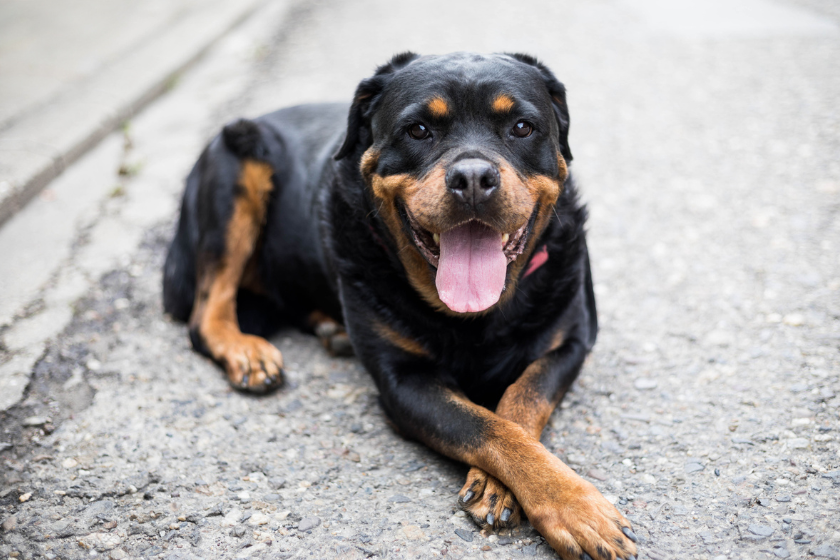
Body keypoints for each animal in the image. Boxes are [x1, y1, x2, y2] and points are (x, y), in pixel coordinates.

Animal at [162, 52, 636, 560]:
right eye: (418, 130)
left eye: (523, 127)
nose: (473, 178)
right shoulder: (403, 381)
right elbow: (488, 427)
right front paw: (574, 507)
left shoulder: (569, 344)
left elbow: (521, 402)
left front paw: (518, 489)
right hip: (235, 168)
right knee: (207, 311)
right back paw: (248, 351)